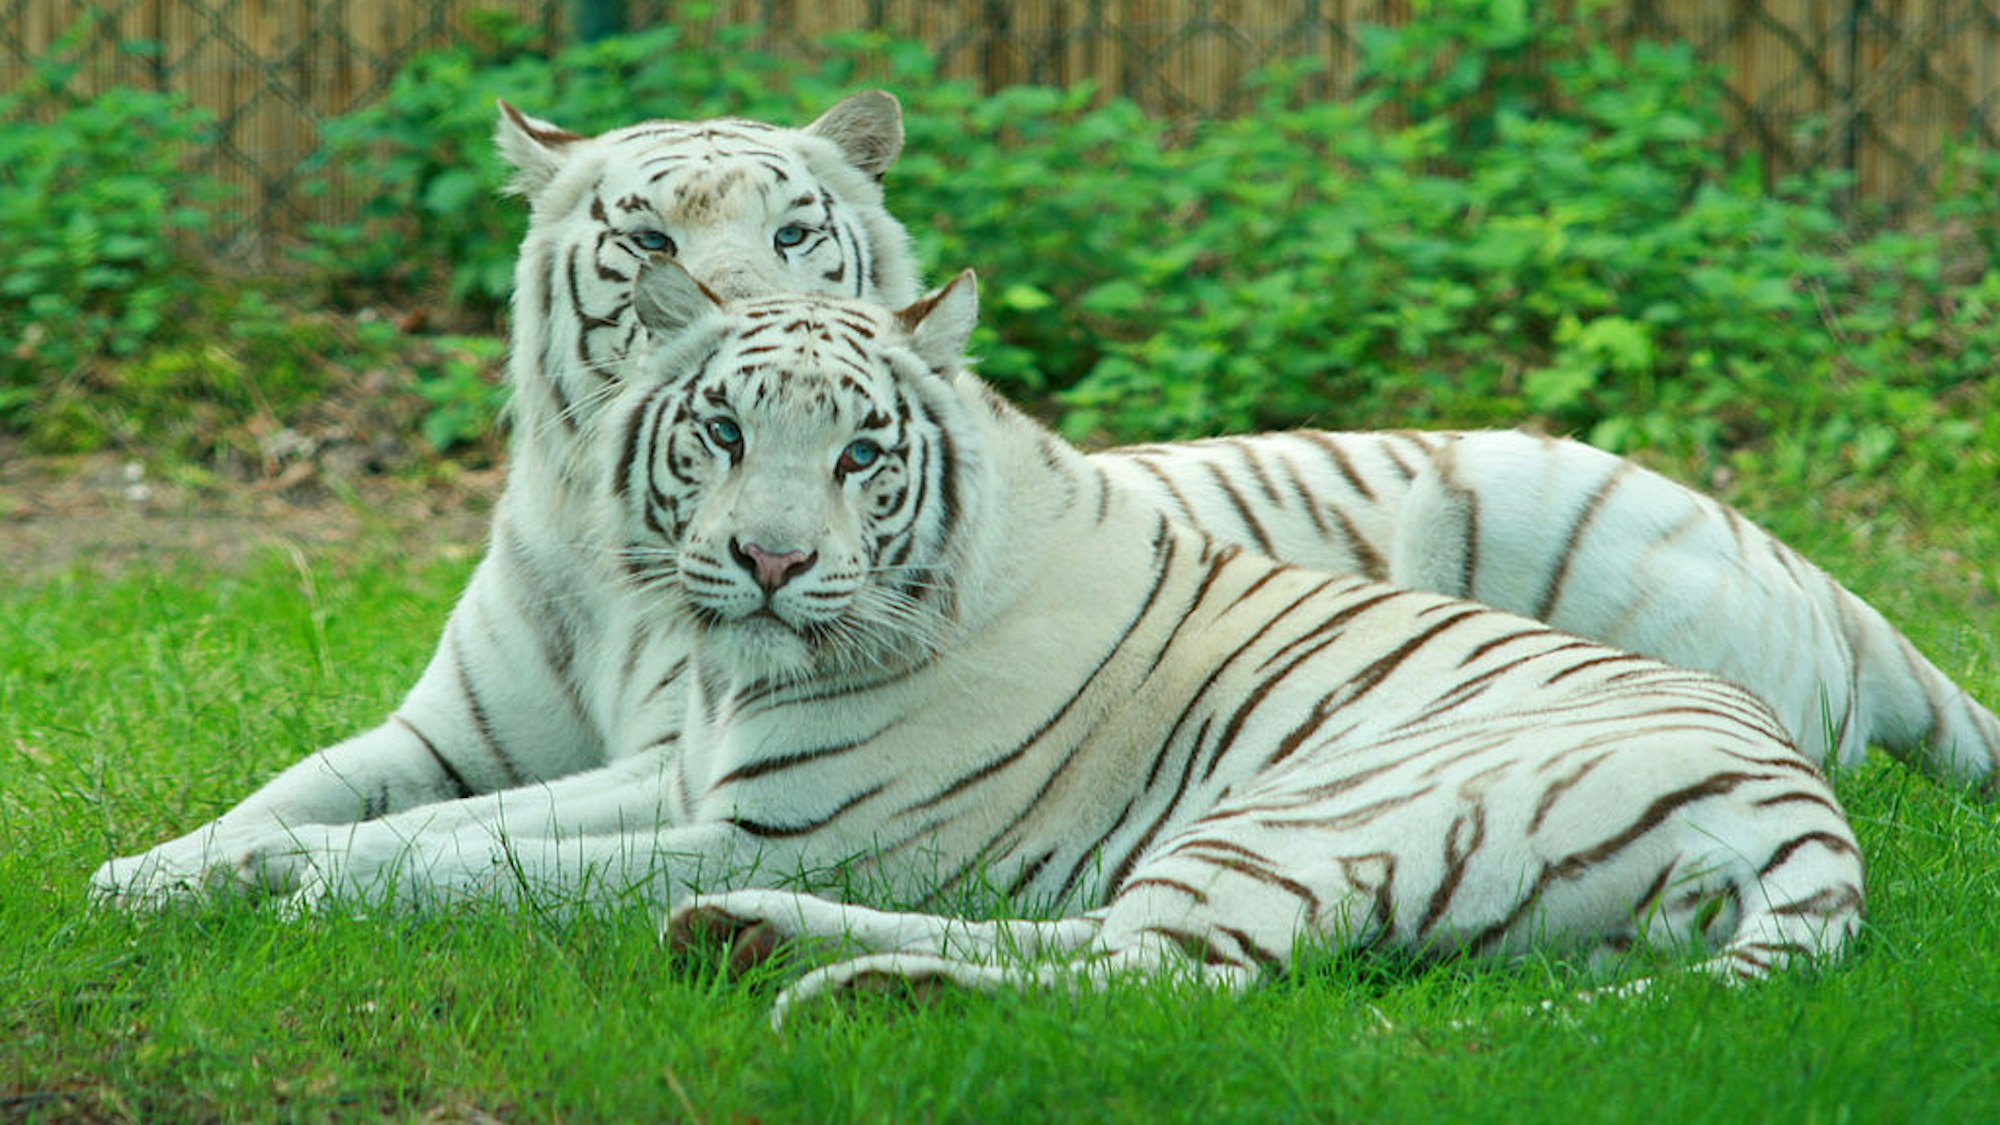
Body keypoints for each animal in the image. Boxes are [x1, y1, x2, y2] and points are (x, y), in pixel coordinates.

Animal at [90, 91, 1994, 909]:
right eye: (641, 231)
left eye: (794, 227)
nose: (727, 304)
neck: (620, 551)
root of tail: (1836, 590)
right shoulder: (468, 734)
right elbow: (301, 798)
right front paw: (151, 873)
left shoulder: (690, 778)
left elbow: (460, 853)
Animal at [233, 265, 1865, 1020]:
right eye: (725, 431)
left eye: (859, 455)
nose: (769, 562)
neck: (740, 674)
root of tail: (1808, 811)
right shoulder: (690, 787)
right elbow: (460, 825)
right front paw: (260, 866)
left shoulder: (790, 822)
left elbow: (491, 867)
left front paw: (309, 896)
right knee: (1113, 947)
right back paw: (751, 941)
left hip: (1305, 813)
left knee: (1169, 978)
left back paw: (846, 989)